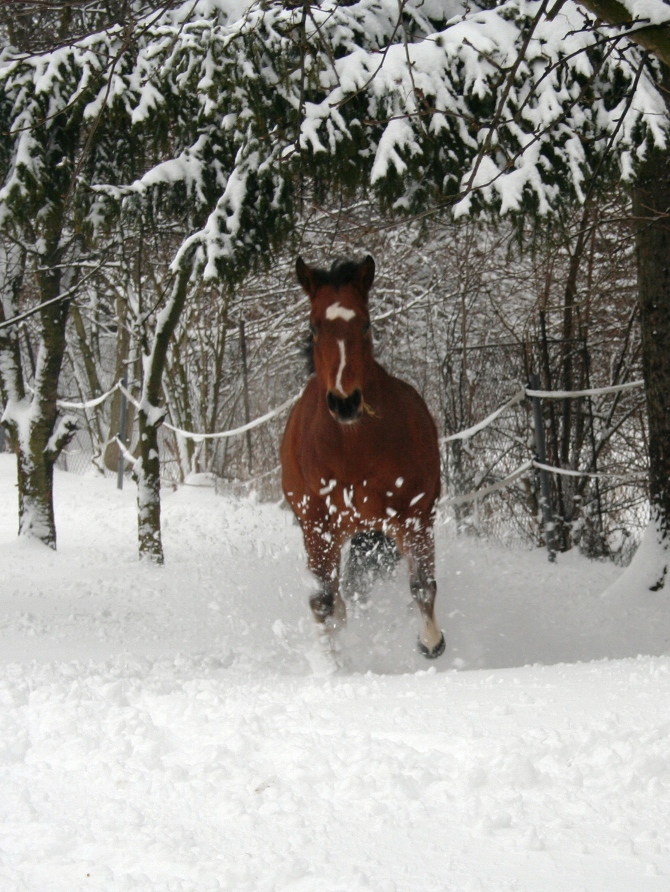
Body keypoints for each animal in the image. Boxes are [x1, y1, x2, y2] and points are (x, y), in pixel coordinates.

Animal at [280, 254, 448, 660]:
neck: (352, 449)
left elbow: (423, 584)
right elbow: (324, 602)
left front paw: (431, 642)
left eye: (366, 324)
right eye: (314, 327)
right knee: (334, 594)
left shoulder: (414, 517)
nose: (345, 401)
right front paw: (331, 663)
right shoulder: (317, 526)